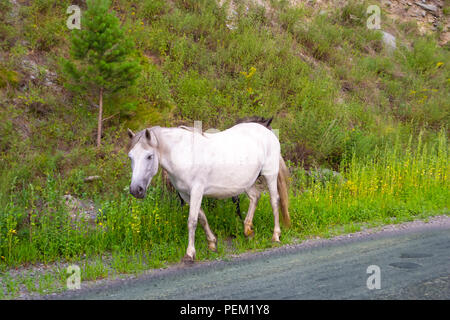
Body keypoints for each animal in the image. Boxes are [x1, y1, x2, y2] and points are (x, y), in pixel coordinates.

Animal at [126, 121, 290, 264]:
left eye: (149, 156)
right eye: (130, 157)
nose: (135, 190)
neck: (184, 153)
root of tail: (268, 132)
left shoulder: (197, 190)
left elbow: (192, 221)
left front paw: (189, 254)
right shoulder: (186, 195)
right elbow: (202, 218)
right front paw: (212, 244)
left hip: (270, 175)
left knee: (274, 201)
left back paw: (276, 236)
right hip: (246, 182)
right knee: (255, 197)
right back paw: (247, 230)